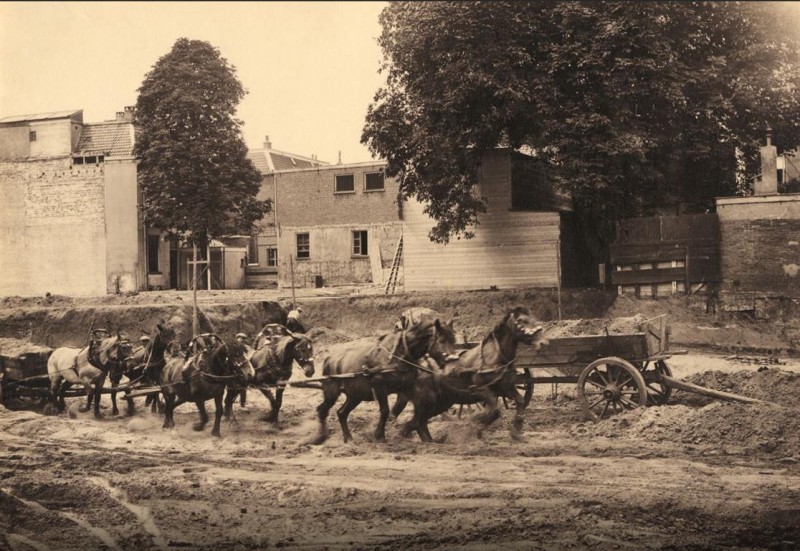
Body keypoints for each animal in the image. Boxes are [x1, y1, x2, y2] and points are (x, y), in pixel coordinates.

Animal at [400, 308, 552, 442]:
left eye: (533, 318)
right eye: (522, 321)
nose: (543, 342)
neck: (493, 358)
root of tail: (420, 365)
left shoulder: (506, 387)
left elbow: (519, 402)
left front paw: (516, 431)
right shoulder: (480, 389)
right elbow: (494, 411)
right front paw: (473, 426)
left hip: (443, 402)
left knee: (418, 422)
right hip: (429, 402)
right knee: (417, 422)